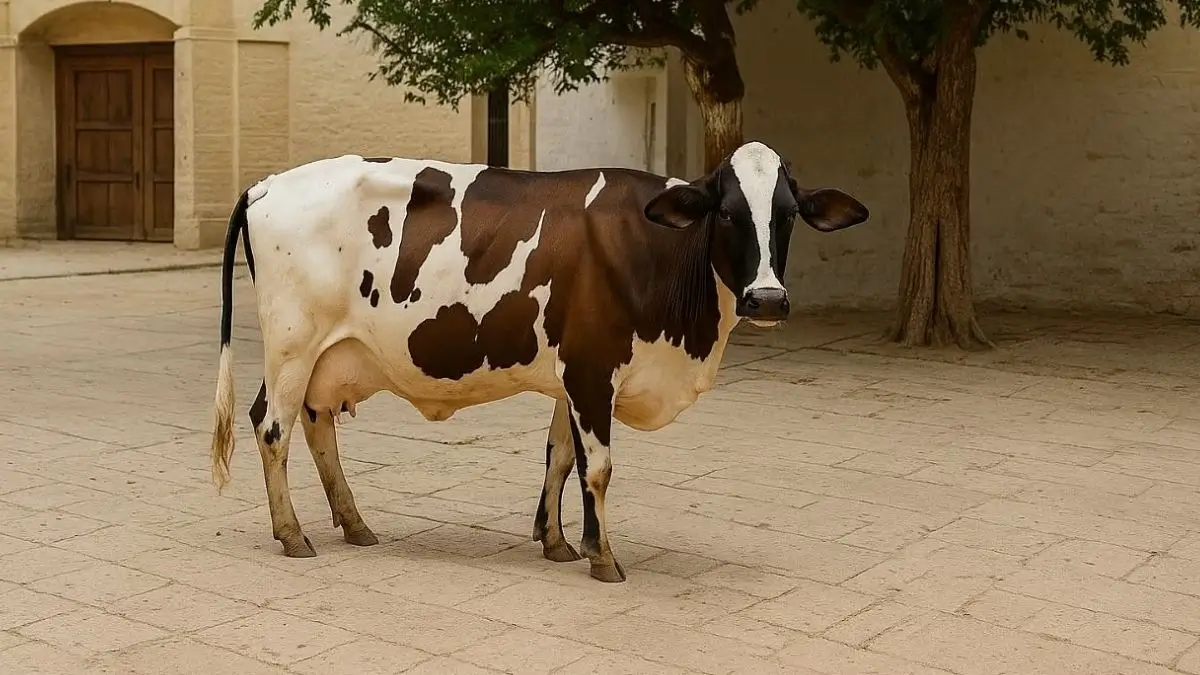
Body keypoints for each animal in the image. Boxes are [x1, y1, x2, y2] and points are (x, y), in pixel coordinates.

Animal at [209, 140, 869, 583]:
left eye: (787, 214)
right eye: (727, 212)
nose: (768, 299)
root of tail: (268, 183)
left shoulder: (569, 376)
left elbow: (558, 457)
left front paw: (555, 541)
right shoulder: (591, 369)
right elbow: (597, 467)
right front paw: (604, 556)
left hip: (328, 355)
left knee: (316, 426)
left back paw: (354, 524)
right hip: (292, 342)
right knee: (272, 427)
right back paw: (293, 534)